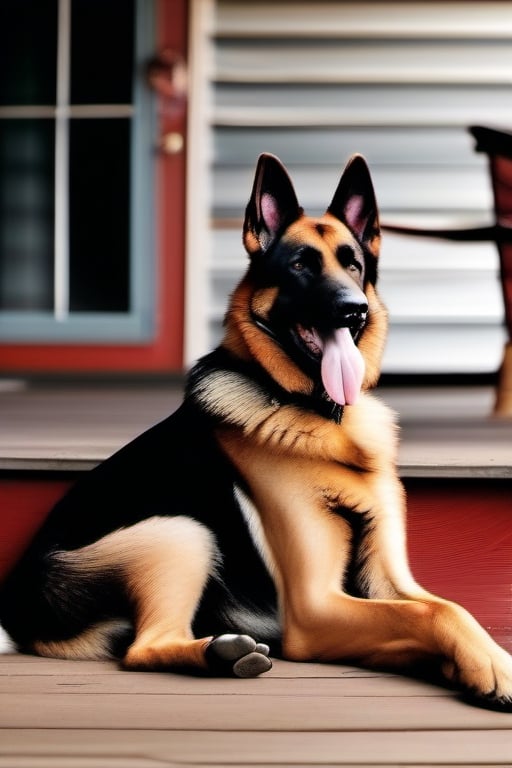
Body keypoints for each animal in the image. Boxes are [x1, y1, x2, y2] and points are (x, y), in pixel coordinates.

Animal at [1, 153, 512, 712]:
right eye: (300, 265)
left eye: (353, 264)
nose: (353, 307)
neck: (321, 417)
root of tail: (16, 608)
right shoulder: (314, 609)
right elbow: (431, 612)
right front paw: (493, 670)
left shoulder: (388, 583)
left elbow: (451, 608)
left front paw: (484, 660)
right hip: (181, 532)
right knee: (143, 648)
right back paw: (220, 654)